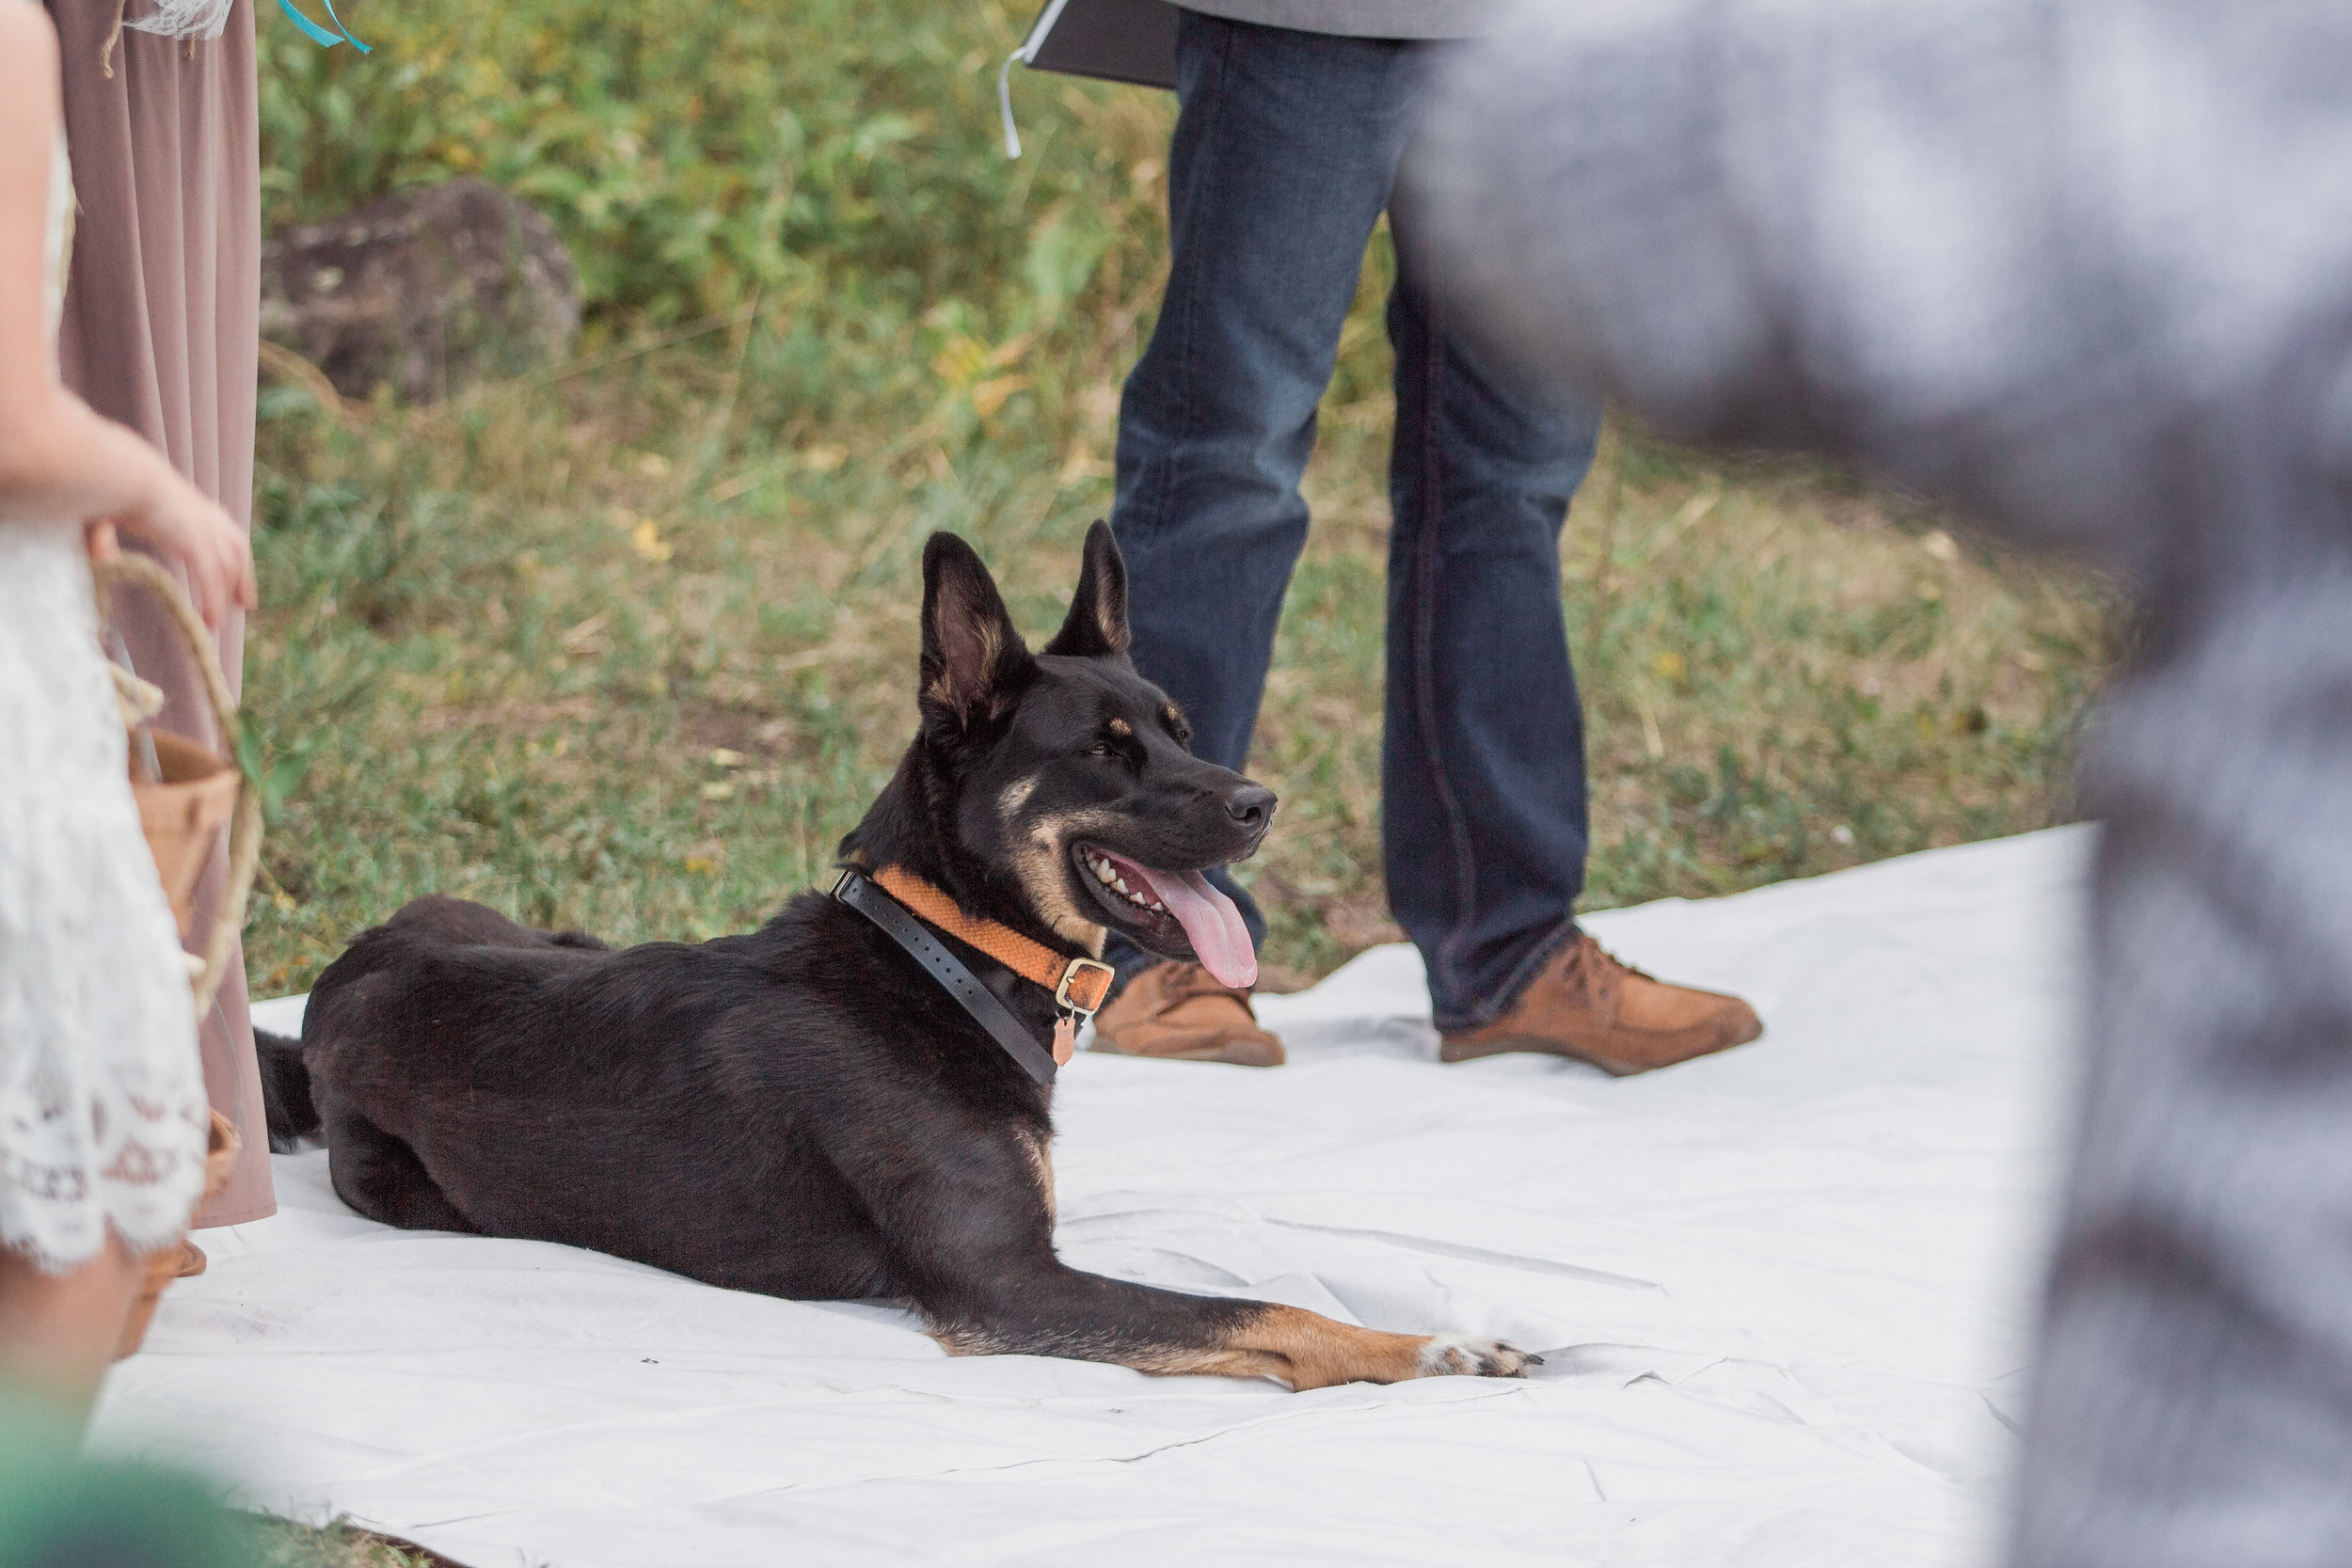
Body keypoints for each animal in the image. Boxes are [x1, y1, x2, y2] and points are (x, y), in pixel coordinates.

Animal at [266, 531, 1534, 1401]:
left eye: (1179, 728)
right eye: (1105, 752)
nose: (1261, 802)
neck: (944, 958)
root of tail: (336, 980)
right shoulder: (1006, 1284)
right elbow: (1251, 1308)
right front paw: (1429, 1346)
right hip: (415, 1193)